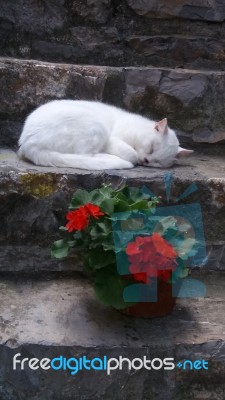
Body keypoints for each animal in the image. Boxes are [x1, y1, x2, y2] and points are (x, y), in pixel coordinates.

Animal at [18, 100, 193, 170]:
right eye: (151, 148)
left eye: (158, 162)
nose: (146, 161)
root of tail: (28, 143)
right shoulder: (113, 139)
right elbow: (131, 153)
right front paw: (134, 157)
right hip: (96, 126)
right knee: (86, 156)